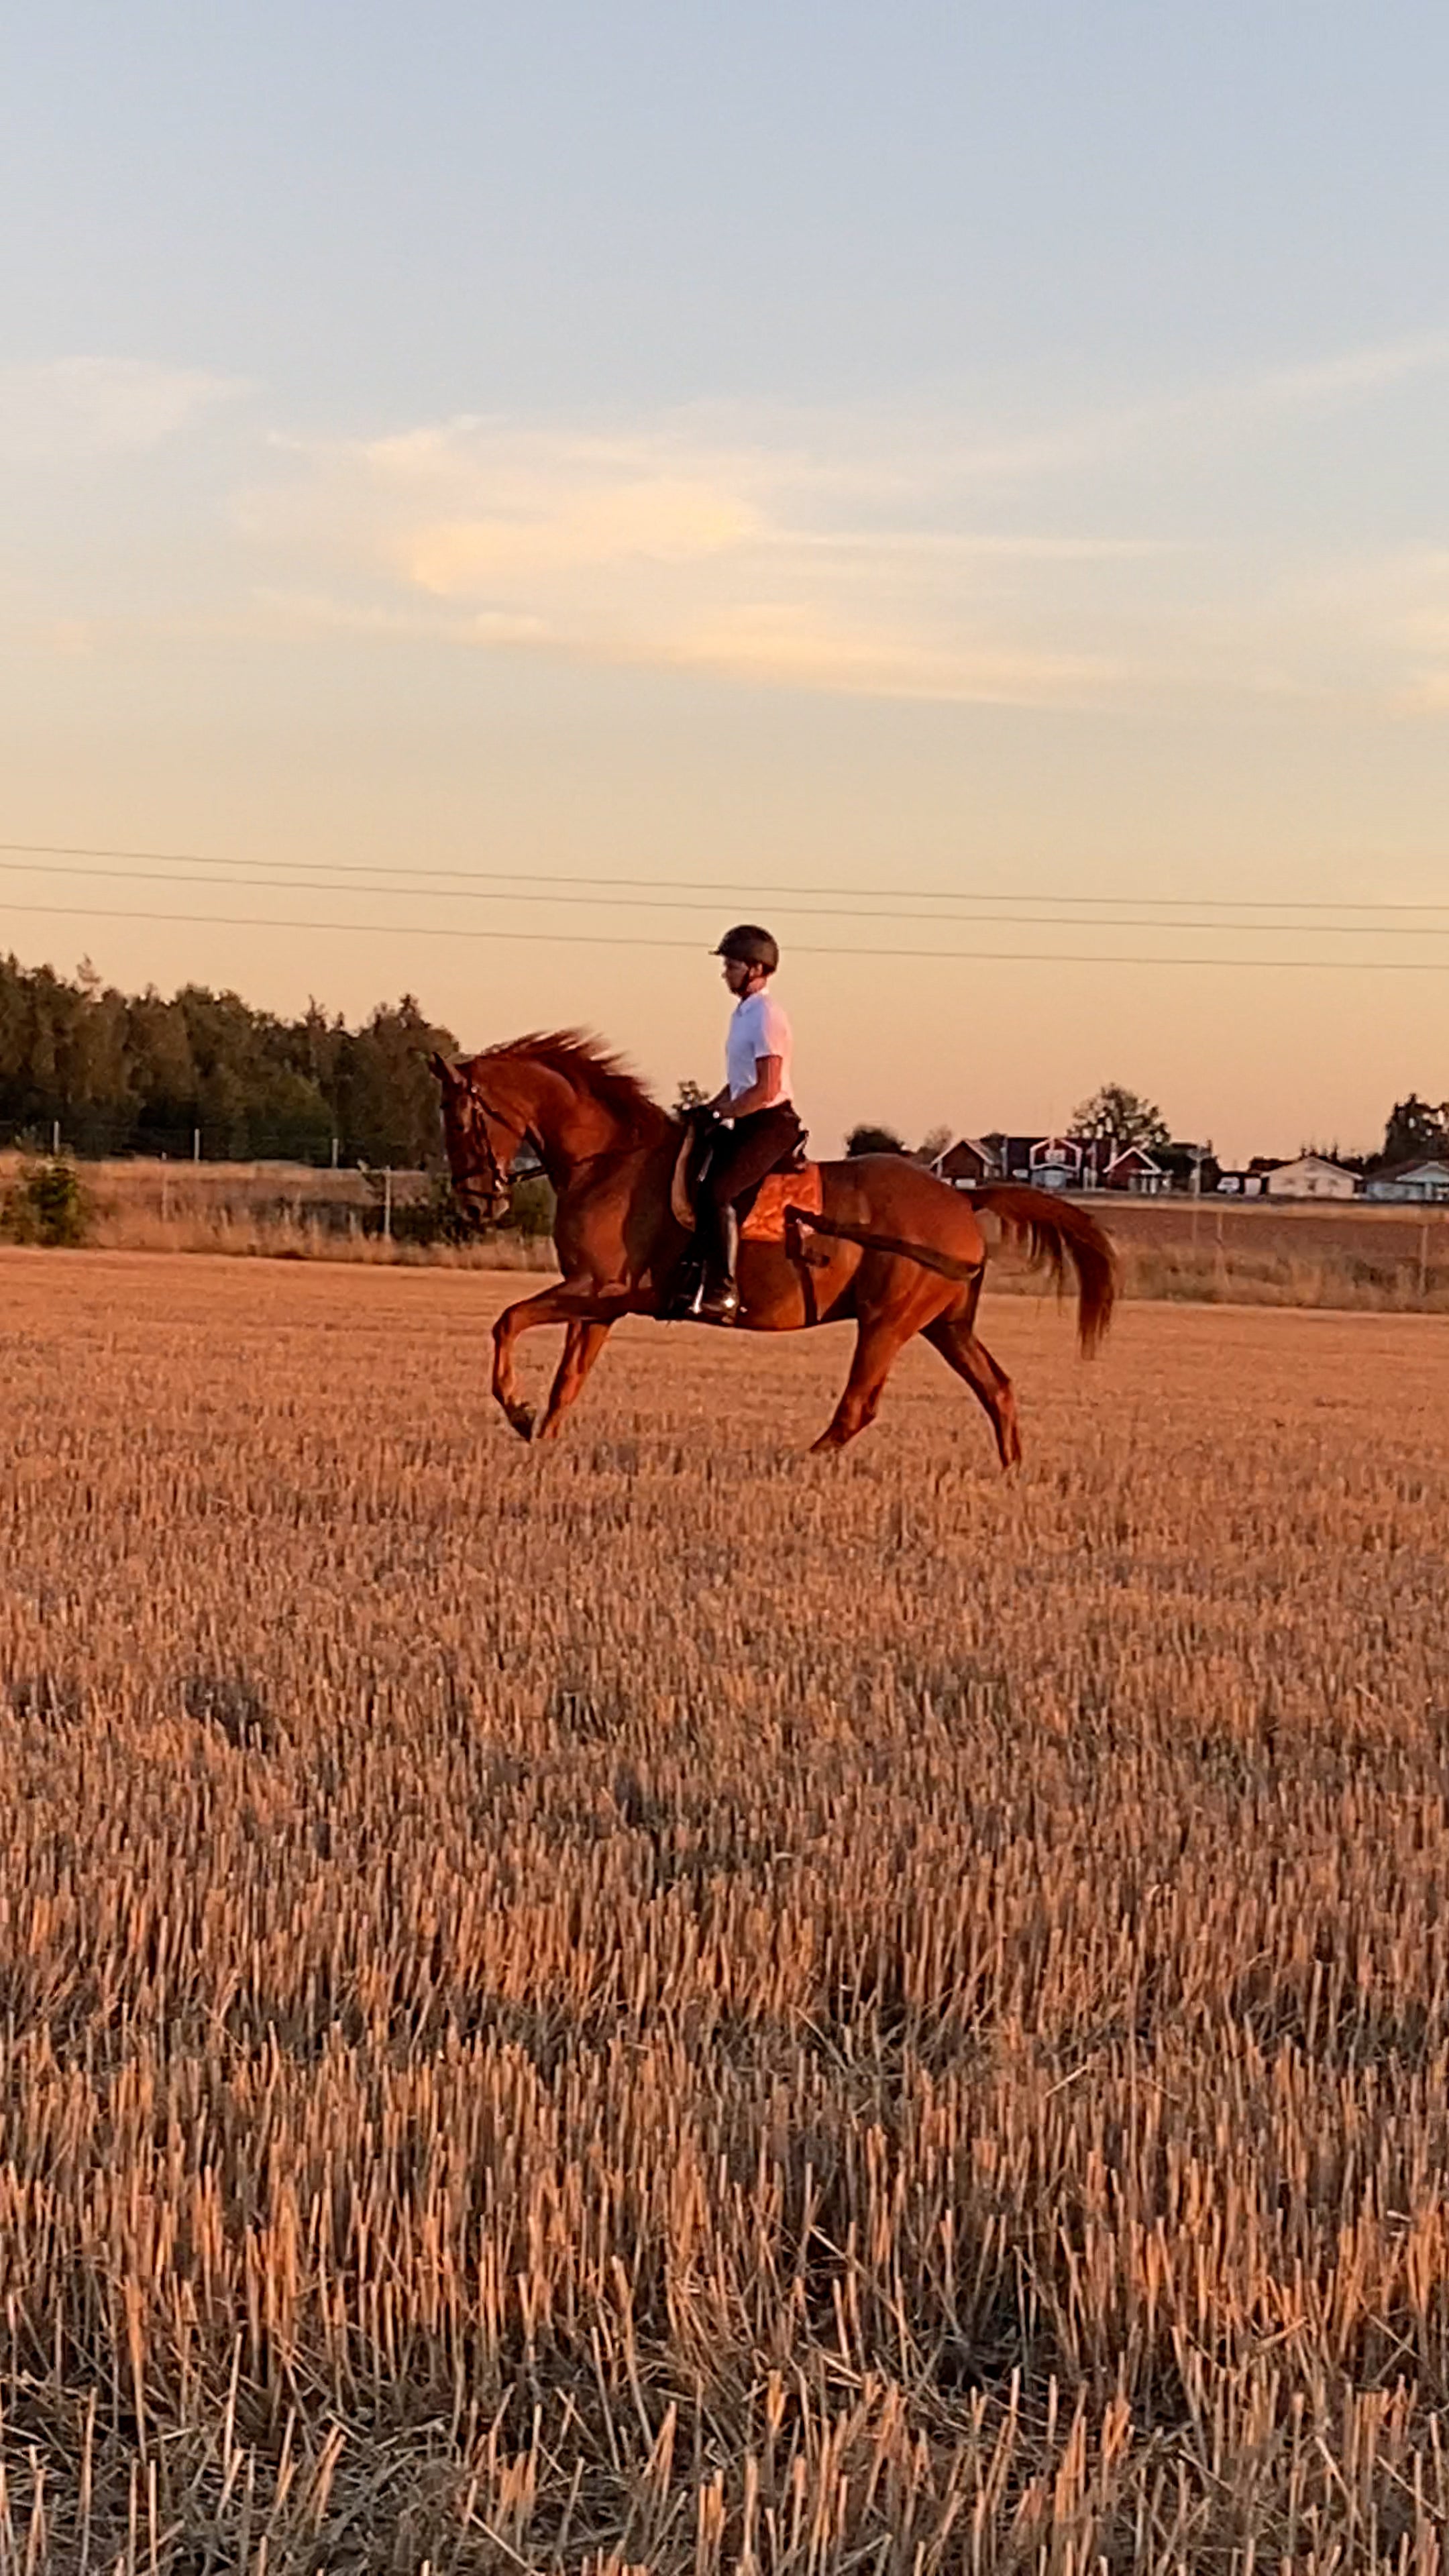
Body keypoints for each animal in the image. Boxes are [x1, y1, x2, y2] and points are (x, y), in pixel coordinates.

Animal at [430, 1033, 1115, 1457]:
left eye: (460, 1121)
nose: (476, 1204)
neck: (609, 1161)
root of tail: (961, 1199)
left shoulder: (595, 1288)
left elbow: (506, 1321)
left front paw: (516, 1410)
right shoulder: (601, 1303)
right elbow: (566, 1381)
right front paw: (540, 1435)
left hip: (888, 1321)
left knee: (859, 1406)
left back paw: (801, 1462)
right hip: (944, 1323)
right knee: (996, 1389)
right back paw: (1012, 1475)